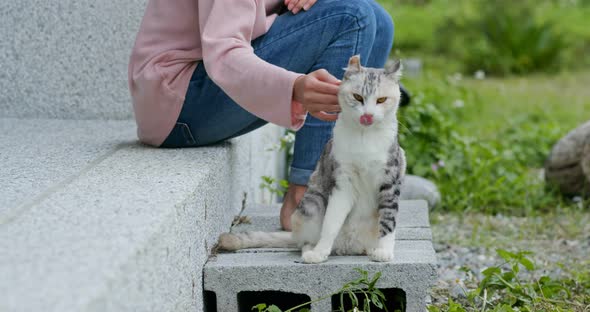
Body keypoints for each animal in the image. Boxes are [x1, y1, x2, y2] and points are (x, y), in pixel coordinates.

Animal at [217, 55, 408, 264]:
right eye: (358, 97)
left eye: (381, 100)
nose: (367, 116)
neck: (364, 137)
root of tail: (348, 246)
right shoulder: (343, 181)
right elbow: (331, 222)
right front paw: (320, 251)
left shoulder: (390, 180)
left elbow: (388, 218)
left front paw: (384, 251)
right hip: (311, 205)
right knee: (304, 241)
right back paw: (312, 251)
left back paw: (371, 249)